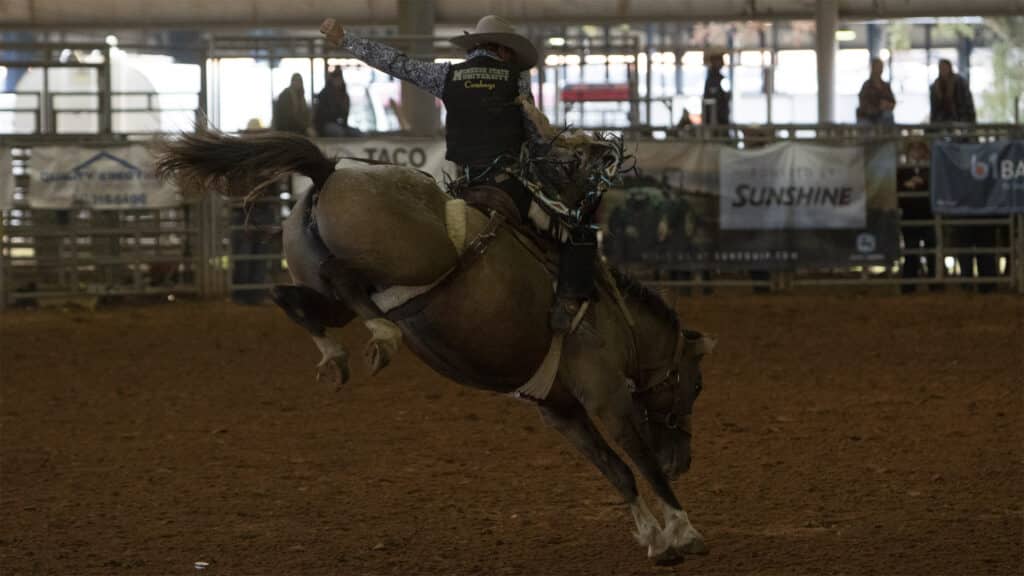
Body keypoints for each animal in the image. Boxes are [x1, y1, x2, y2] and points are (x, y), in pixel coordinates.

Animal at [155, 124, 716, 561]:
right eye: (694, 386)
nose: (684, 459)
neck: (613, 316)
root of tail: (329, 169)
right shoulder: (606, 395)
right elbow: (639, 462)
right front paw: (683, 531)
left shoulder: (560, 410)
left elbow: (617, 472)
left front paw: (654, 538)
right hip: (410, 264)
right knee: (343, 279)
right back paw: (381, 338)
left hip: (340, 283)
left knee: (293, 296)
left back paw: (336, 353)